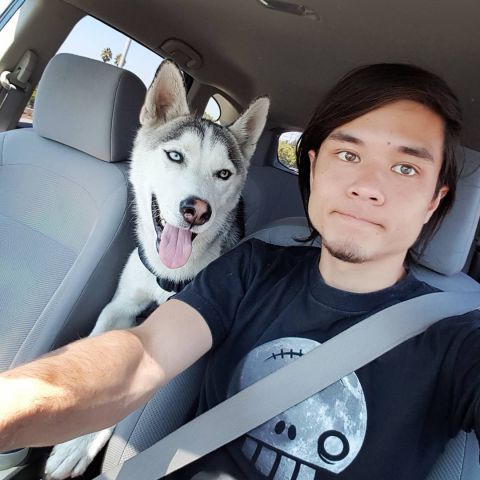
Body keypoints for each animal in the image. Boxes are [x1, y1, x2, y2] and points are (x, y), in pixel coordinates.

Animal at [44, 61, 270, 480]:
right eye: (176, 156)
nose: (196, 211)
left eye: (223, 174)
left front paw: (77, 444)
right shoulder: (120, 306)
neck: (169, 277)